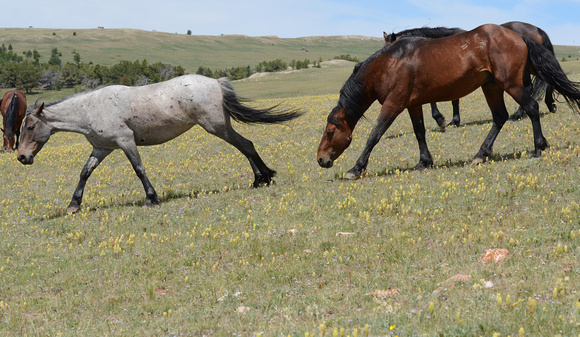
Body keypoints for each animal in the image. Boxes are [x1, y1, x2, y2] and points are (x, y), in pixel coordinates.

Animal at [17, 75, 304, 214]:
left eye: (30, 127)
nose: (21, 157)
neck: (91, 108)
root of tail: (216, 82)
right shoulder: (102, 148)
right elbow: (84, 173)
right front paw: (73, 205)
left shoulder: (125, 141)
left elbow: (139, 169)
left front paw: (151, 198)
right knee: (245, 146)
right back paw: (260, 179)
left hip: (216, 127)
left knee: (246, 144)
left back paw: (263, 177)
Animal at [382, 21, 556, 128]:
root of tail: (537, 29)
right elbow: (453, 100)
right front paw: (453, 120)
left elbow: (440, 101)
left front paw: (442, 119)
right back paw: (550, 105)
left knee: (530, 87)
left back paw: (518, 114)